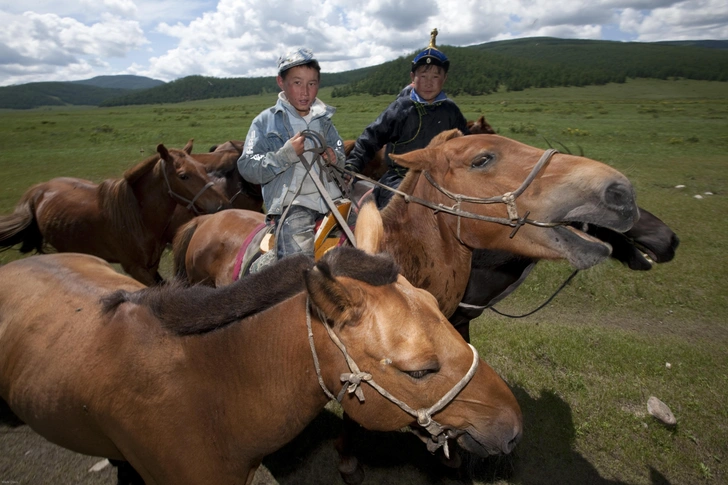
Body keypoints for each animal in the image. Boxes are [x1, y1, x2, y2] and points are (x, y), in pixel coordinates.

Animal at [0, 142, 230, 286]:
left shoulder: (151, 264)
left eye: (203, 167)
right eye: (183, 175)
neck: (139, 218)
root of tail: (39, 189)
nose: (221, 204)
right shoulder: (135, 268)